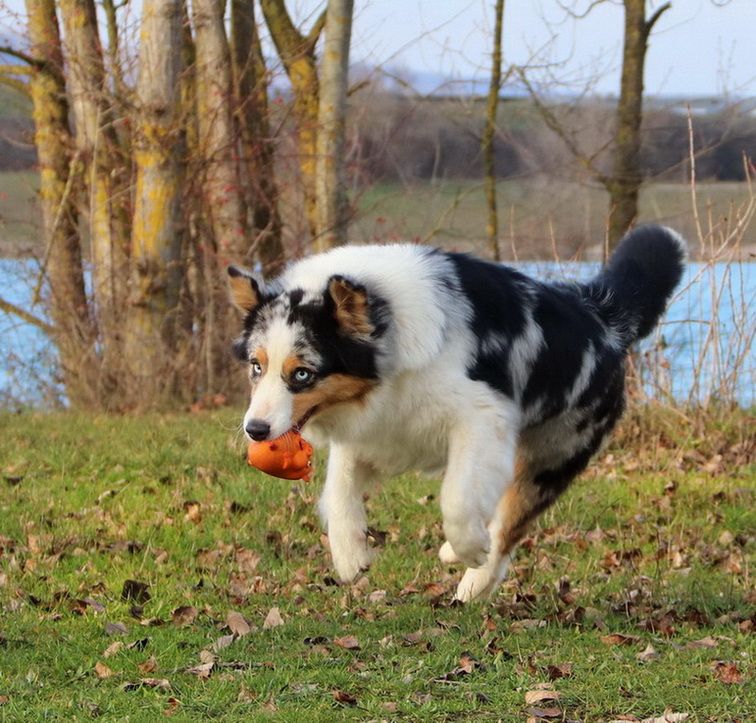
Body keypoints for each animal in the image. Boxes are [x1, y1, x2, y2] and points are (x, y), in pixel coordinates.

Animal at [227, 225, 688, 600]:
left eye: (302, 374)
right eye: (256, 366)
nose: (255, 430)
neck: (388, 328)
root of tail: (603, 315)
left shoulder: (483, 416)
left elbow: (457, 496)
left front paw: (467, 545)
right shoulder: (380, 429)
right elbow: (338, 488)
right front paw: (350, 554)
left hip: (551, 456)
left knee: (508, 527)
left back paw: (469, 572)